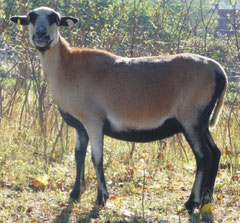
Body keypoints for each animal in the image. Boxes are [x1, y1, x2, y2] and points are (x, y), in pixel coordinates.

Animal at [10, 6, 229, 214]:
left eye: (55, 19)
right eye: (30, 18)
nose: (41, 34)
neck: (67, 66)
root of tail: (217, 69)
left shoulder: (93, 121)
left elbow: (96, 158)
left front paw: (101, 198)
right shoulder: (80, 126)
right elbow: (78, 155)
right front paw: (75, 194)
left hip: (191, 119)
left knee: (204, 156)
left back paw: (191, 203)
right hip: (202, 122)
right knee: (216, 153)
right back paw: (207, 200)